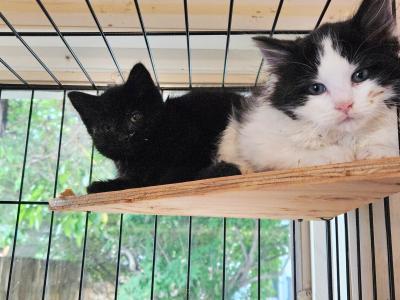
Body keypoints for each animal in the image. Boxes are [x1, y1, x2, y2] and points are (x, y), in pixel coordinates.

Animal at [69, 64, 241, 193]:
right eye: (107, 127)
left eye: (135, 116)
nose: (124, 135)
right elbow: (136, 181)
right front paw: (103, 186)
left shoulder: (195, 139)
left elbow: (171, 175)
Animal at [217, 0, 400, 172]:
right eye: (316, 88)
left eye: (360, 75)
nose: (344, 105)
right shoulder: (255, 136)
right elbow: (291, 154)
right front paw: (336, 154)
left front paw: (376, 150)